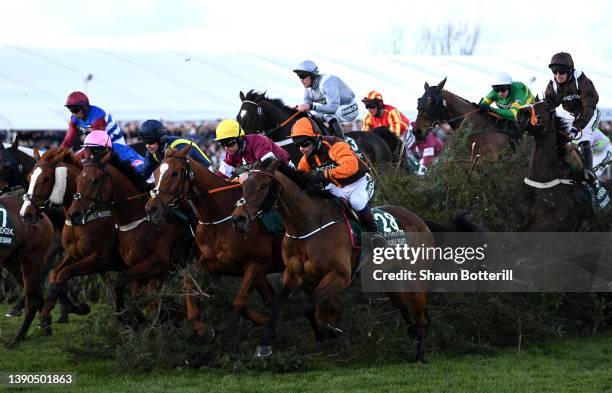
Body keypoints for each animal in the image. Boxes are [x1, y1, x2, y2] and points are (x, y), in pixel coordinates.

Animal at [145, 146, 286, 330]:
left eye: (175, 173)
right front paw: (201, 327)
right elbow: (188, 281)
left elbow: (239, 303)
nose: (151, 209)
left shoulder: (256, 263)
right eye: (154, 173)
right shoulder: (211, 265)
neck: (219, 222)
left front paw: (263, 320)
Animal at [232, 162, 432, 362]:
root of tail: (419, 220)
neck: (308, 227)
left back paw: (419, 356)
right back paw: (412, 333)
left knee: (421, 317)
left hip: (414, 279)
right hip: (388, 279)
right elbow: (278, 305)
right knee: (405, 309)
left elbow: (309, 307)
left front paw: (327, 332)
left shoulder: (339, 276)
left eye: (263, 186)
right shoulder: (294, 275)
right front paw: (264, 345)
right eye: (243, 186)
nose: (238, 219)